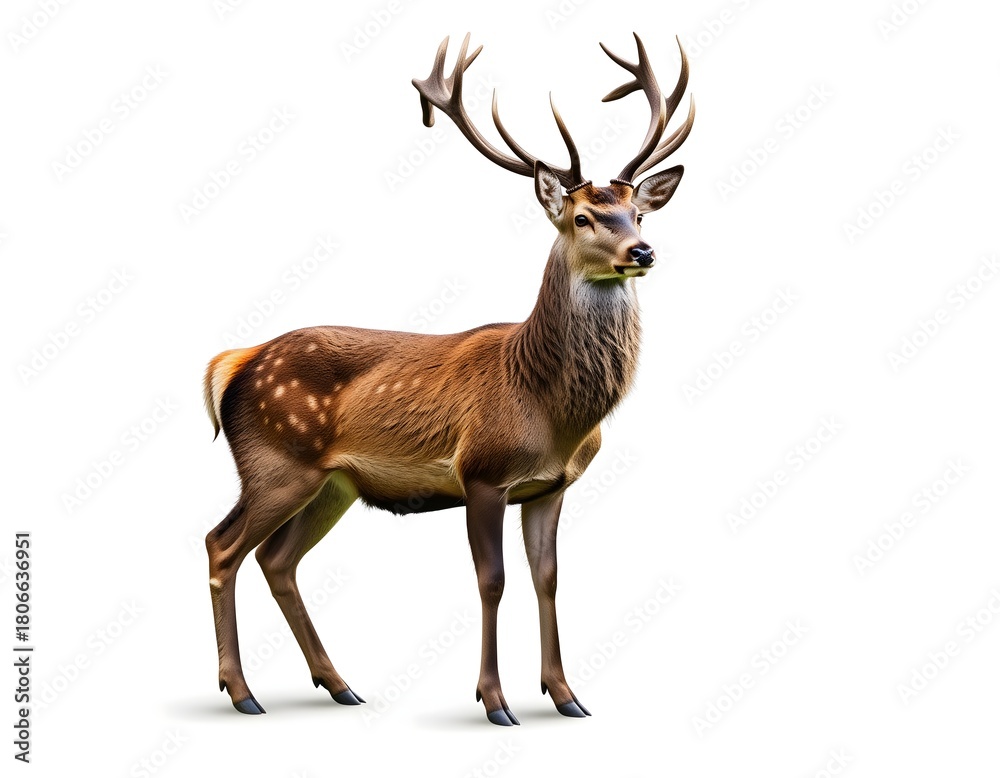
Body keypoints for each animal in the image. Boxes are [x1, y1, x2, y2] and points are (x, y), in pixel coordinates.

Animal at [202, 32, 694, 726]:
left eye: (638, 216)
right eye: (582, 219)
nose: (642, 253)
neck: (555, 414)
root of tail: (235, 363)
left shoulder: (550, 487)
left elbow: (547, 578)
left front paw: (566, 695)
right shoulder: (481, 472)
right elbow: (492, 580)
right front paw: (495, 701)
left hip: (331, 484)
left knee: (277, 559)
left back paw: (339, 683)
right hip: (274, 461)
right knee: (222, 545)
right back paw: (242, 691)